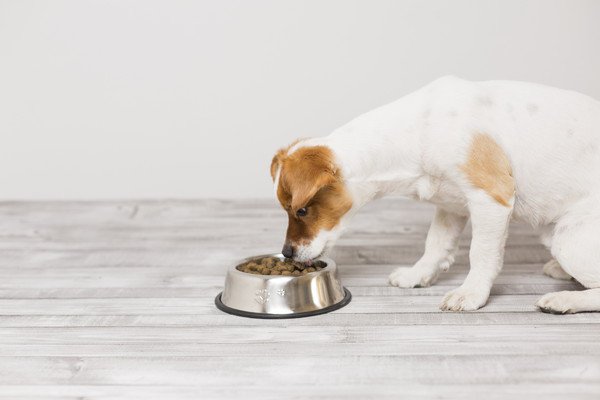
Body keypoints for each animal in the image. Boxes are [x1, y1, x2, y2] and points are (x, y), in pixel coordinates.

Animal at [270, 76, 600, 314]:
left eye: (301, 210)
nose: (287, 253)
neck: (417, 130)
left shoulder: (491, 199)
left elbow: (481, 254)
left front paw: (471, 294)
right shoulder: (451, 206)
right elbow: (435, 245)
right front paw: (417, 276)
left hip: (568, 239)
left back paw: (563, 300)